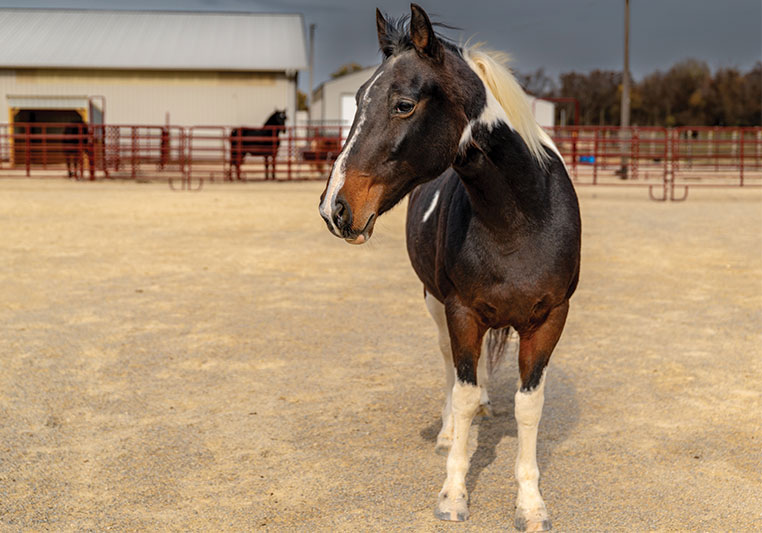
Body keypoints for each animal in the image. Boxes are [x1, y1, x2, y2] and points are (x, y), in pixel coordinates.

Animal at [318, 5, 581, 531]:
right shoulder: (462, 313)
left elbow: (528, 406)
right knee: (450, 368)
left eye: (403, 104)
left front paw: (530, 503)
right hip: (436, 304)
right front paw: (454, 494)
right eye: (357, 98)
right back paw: (448, 431)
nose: (334, 207)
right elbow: (460, 394)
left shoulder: (549, 319)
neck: (519, 221)